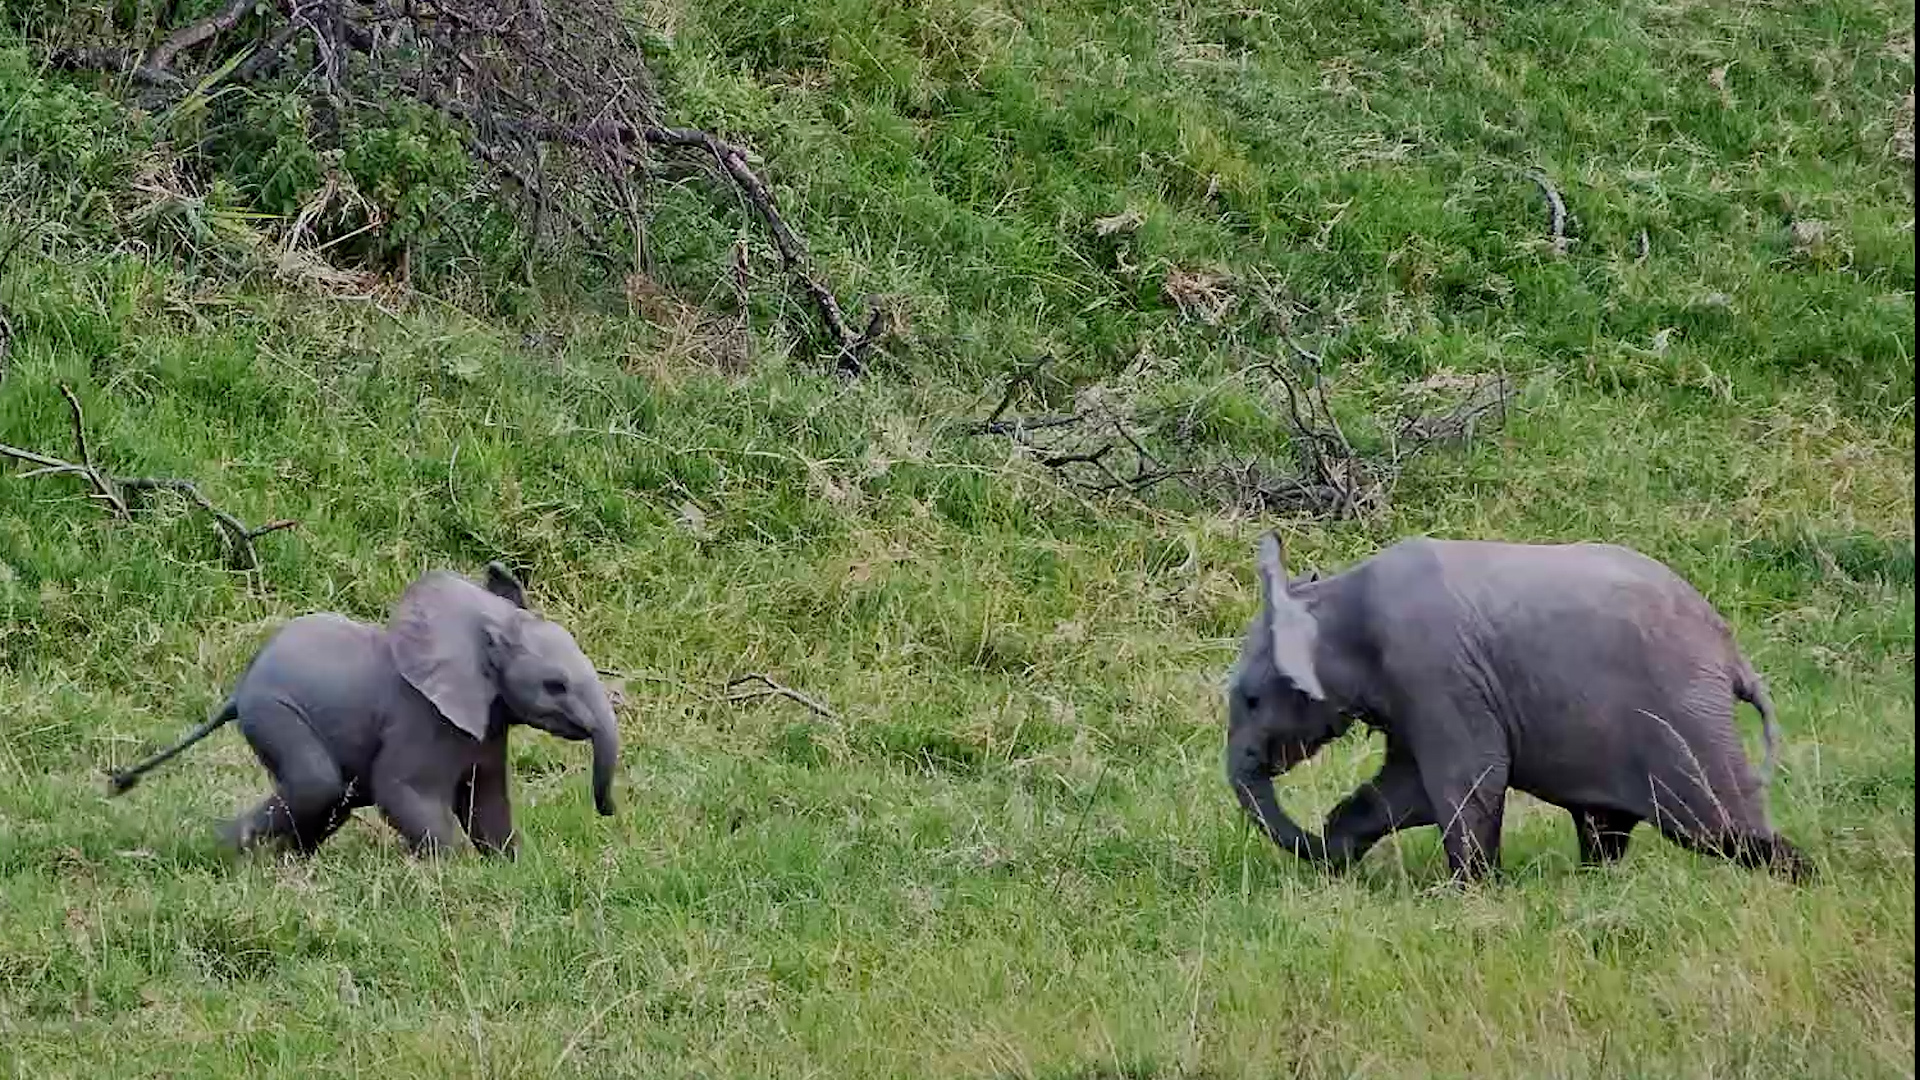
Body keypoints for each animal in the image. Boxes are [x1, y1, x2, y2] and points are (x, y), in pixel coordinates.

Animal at [106, 563, 619, 858]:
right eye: (555, 685)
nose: (608, 811)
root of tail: (239, 690)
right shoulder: (423, 721)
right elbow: (405, 792)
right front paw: (456, 873)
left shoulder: (487, 725)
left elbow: (487, 806)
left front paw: (510, 868)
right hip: (275, 712)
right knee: (317, 786)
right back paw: (227, 851)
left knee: (331, 799)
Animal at [1225, 532, 1808, 883]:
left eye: (1253, 700)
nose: (1315, 845)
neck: (1338, 598)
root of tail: (1731, 656)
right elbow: (1407, 789)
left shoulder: (1436, 672)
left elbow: (1469, 778)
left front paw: (1472, 891)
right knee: (1606, 829)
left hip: (1687, 722)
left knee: (1717, 828)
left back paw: (1796, 878)